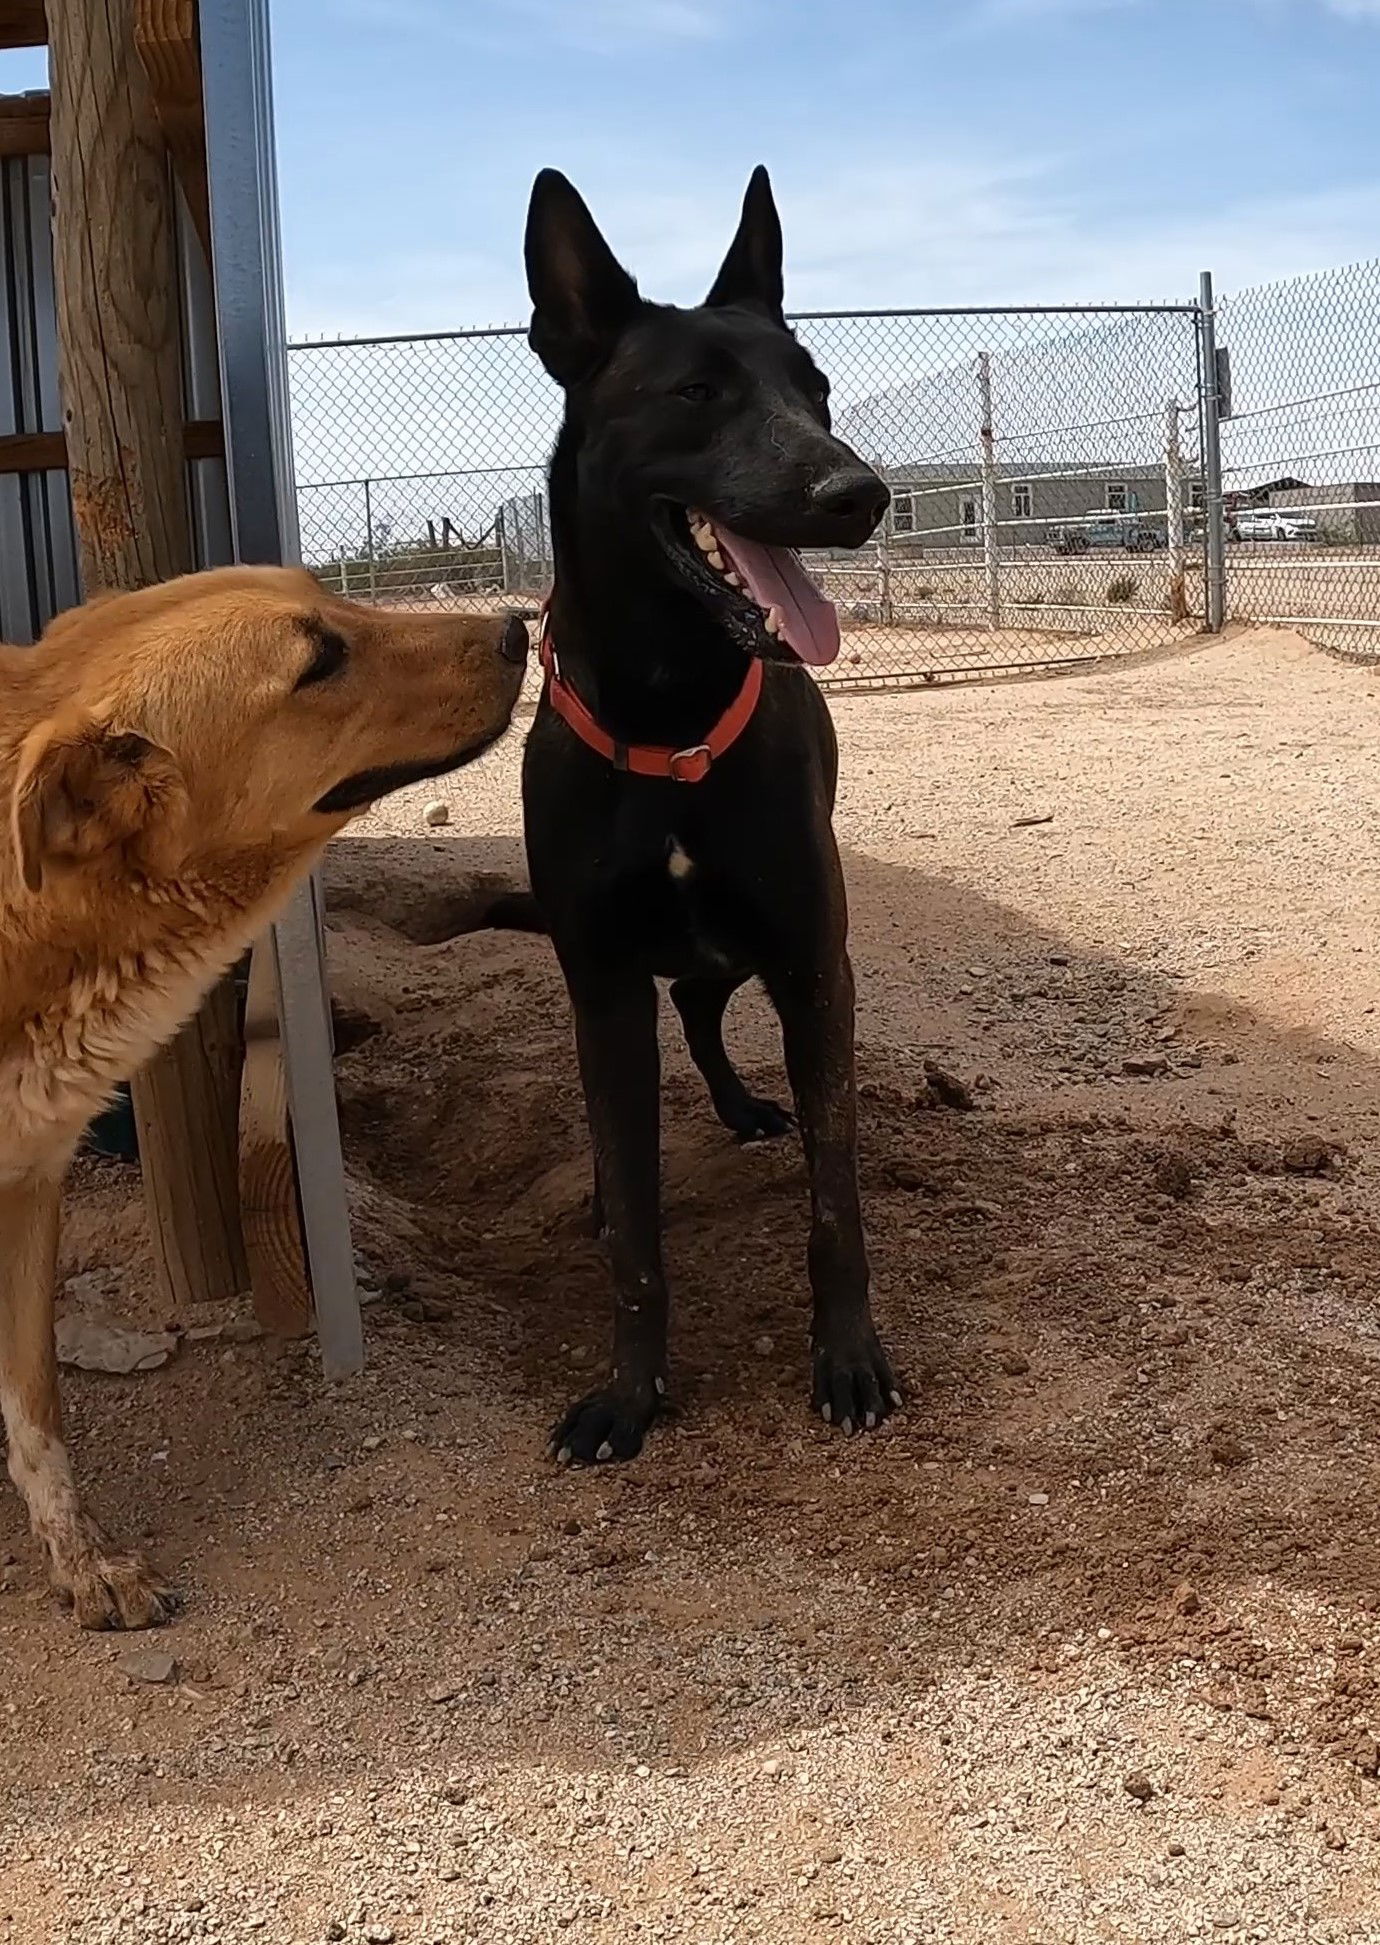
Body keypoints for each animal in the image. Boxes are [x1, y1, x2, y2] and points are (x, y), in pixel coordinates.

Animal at [1, 564, 528, 1626]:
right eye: (317, 659)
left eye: (333, 596)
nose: (519, 627)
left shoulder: (31, 1179)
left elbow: (35, 1403)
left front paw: (84, 1558)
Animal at [524, 167, 901, 1462]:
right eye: (696, 392)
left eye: (817, 388)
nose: (860, 492)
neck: (668, 711)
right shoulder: (598, 980)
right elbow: (638, 1233)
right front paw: (630, 1393)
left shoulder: (814, 962)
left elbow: (837, 1206)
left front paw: (849, 1359)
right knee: (667, 1029)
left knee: (700, 999)